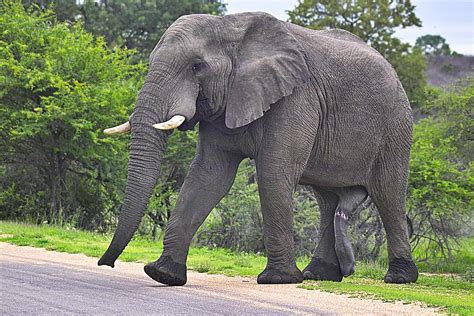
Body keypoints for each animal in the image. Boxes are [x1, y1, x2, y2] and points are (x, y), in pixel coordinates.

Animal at [97, 12, 418, 286]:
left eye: (197, 66)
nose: (105, 263)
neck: (231, 28)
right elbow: (208, 176)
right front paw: (162, 274)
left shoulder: (296, 97)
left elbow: (273, 174)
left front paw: (278, 280)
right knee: (327, 198)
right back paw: (319, 274)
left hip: (395, 128)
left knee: (388, 193)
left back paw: (399, 278)